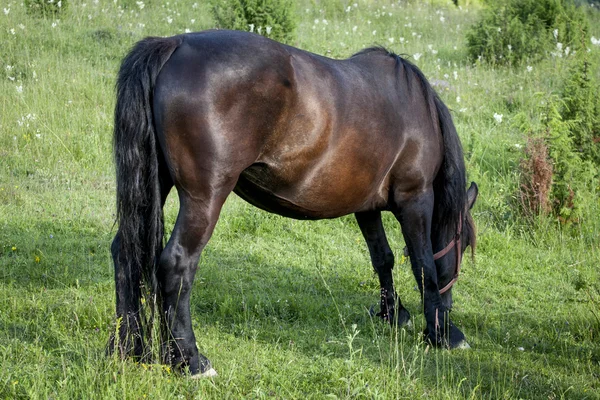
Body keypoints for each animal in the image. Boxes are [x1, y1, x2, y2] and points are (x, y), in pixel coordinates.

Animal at [110, 29, 478, 376]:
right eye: (462, 247)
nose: (448, 311)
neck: (415, 108)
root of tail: (175, 44)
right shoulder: (415, 198)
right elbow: (424, 265)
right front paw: (442, 333)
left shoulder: (366, 206)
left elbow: (382, 258)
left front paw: (393, 313)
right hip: (205, 198)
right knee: (177, 264)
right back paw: (191, 362)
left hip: (155, 184)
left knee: (126, 252)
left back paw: (127, 349)